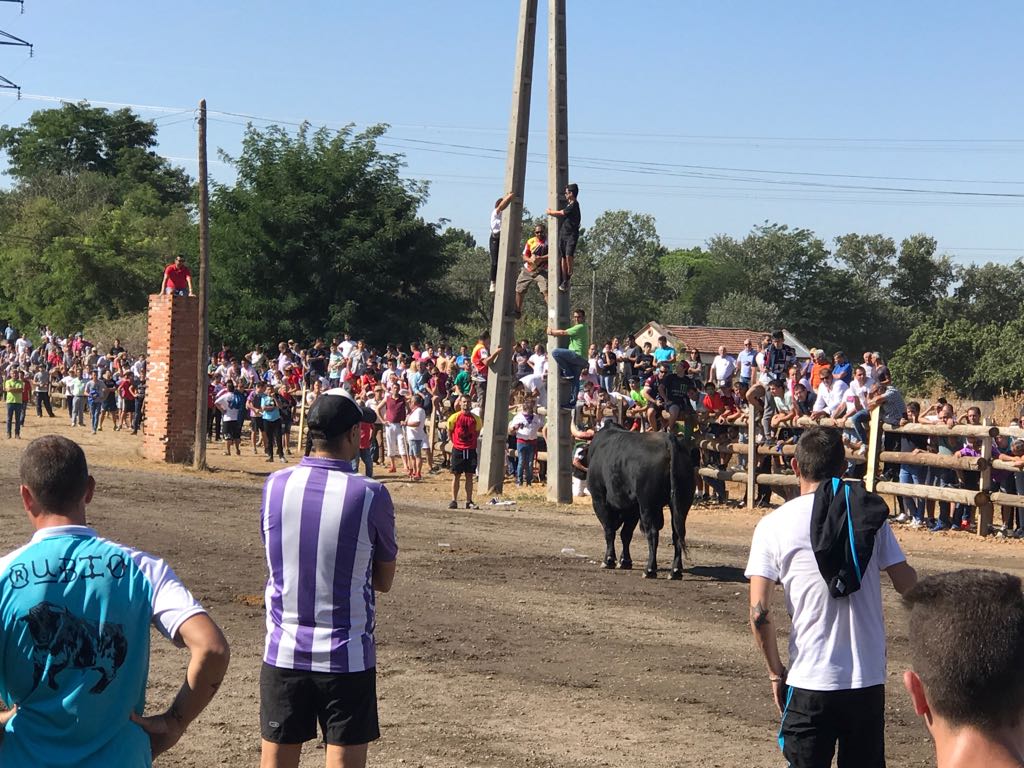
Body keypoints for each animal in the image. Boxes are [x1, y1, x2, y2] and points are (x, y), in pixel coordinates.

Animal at [589, 423, 692, 581]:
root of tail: (669, 439)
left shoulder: (599, 499)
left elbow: (609, 530)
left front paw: (609, 560)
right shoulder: (633, 507)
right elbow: (626, 533)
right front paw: (625, 561)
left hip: (647, 505)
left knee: (653, 533)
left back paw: (649, 570)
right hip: (681, 504)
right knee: (678, 534)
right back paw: (675, 571)